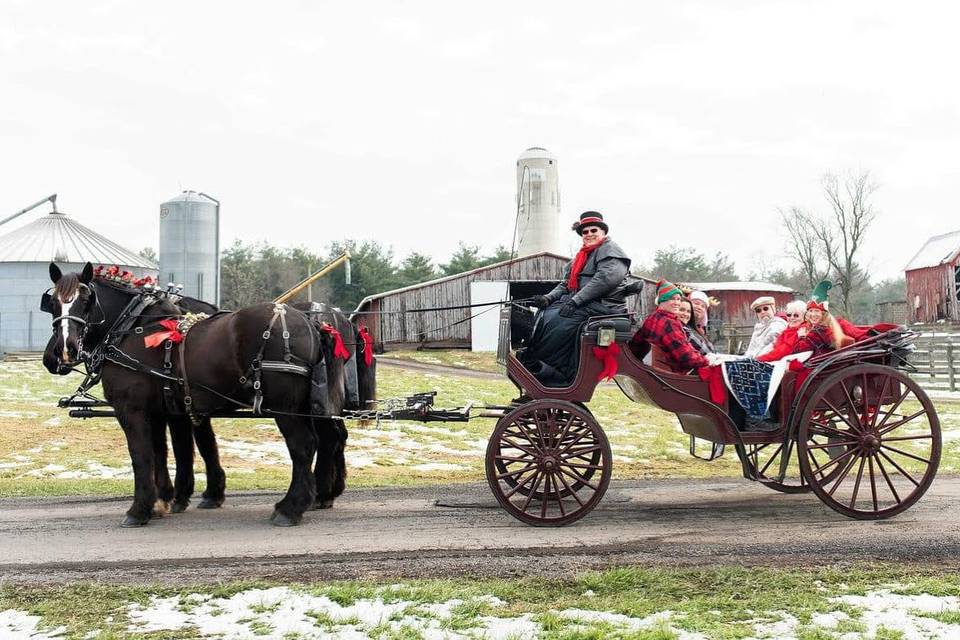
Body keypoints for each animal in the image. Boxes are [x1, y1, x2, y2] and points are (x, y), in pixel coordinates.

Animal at [42, 262, 372, 528]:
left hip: (285, 406)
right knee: (330, 439)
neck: (133, 328)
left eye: (86, 300)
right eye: (54, 303)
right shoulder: (165, 409)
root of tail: (313, 322)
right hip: (311, 403)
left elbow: (144, 455)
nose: (62, 351)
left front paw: (141, 509)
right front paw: (165, 499)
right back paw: (319, 495)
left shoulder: (133, 410)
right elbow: (167, 451)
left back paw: (291, 508)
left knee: (304, 446)